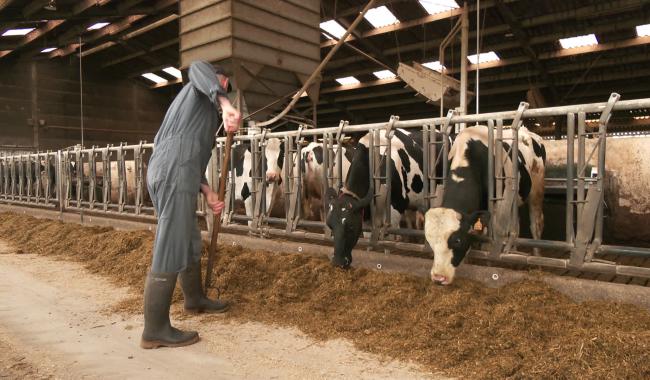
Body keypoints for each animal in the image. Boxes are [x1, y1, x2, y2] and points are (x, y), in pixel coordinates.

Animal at [324, 127, 446, 268]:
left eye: (350, 227)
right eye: (330, 226)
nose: (337, 262)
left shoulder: (396, 207)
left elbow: (388, 240)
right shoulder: (366, 214)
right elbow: (368, 237)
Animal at [422, 124, 544, 284]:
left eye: (457, 240)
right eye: (430, 241)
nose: (438, 277)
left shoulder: (496, 209)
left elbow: (488, 243)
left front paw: (489, 266)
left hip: (536, 190)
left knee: (535, 225)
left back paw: (537, 258)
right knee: (516, 227)